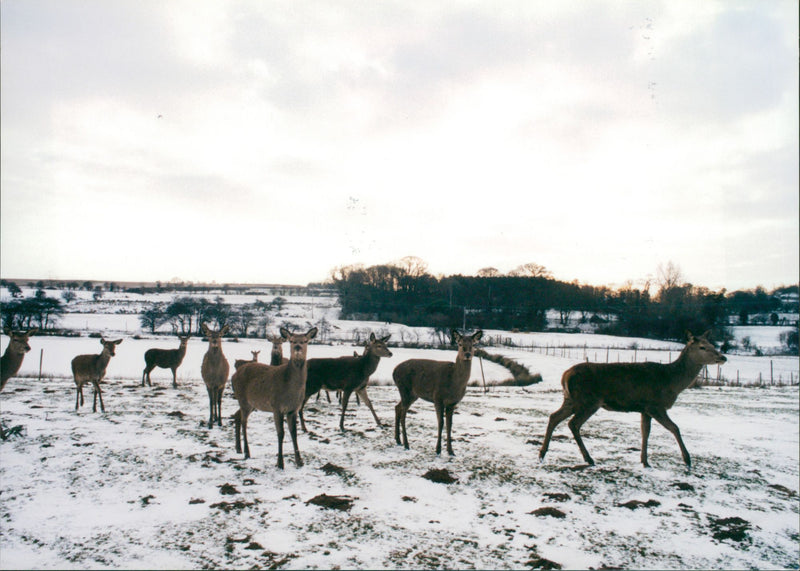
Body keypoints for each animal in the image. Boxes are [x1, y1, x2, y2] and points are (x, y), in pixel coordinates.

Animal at [232, 326, 317, 469]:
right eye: (291, 340)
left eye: (305, 341)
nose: (298, 347)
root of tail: (234, 375)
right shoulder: (276, 407)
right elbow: (281, 433)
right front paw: (280, 463)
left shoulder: (293, 409)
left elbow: (294, 433)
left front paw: (299, 461)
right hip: (242, 398)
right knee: (244, 421)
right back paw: (247, 452)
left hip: (252, 403)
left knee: (237, 415)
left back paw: (238, 448)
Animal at [539, 330, 727, 468]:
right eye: (702, 347)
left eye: (713, 344)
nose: (723, 357)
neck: (672, 382)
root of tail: (565, 376)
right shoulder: (655, 405)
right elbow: (675, 428)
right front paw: (687, 460)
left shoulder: (644, 409)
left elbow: (645, 432)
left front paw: (644, 461)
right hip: (588, 401)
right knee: (573, 423)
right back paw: (589, 458)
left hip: (570, 399)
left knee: (554, 417)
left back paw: (542, 453)